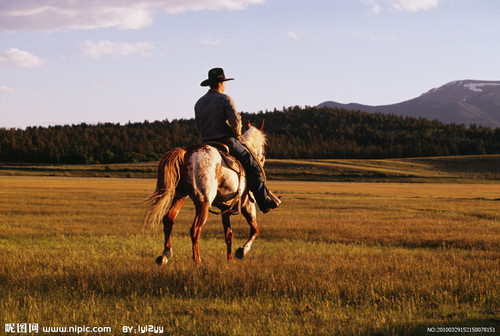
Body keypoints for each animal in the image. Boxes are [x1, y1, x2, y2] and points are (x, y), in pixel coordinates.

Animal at [143, 123, 268, 266]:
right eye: (265, 145)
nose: (262, 160)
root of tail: (186, 152)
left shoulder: (226, 209)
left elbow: (229, 235)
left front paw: (230, 259)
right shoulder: (247, 205)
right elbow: (255, 229)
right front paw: (242, 251)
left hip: (180, 196)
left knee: (169, 219)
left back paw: (165, 255)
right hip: (204, 202)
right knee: (195, 229)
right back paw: (198, 260)